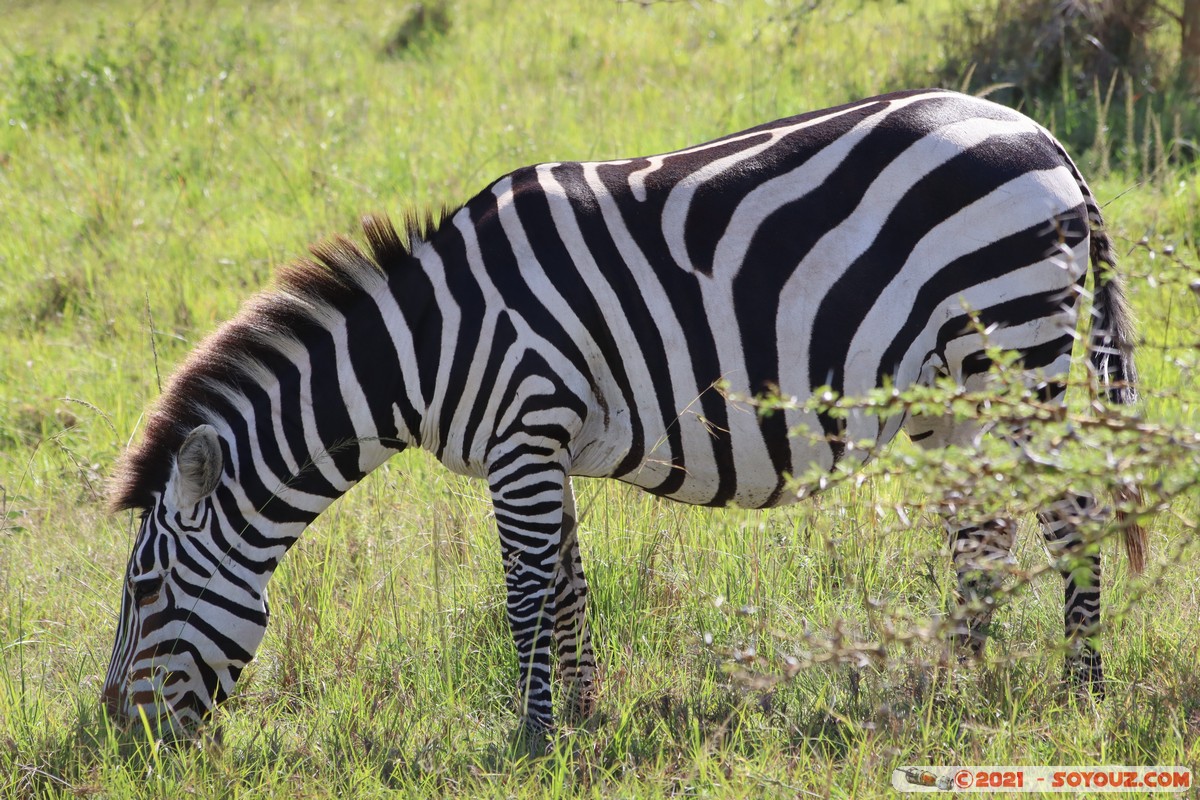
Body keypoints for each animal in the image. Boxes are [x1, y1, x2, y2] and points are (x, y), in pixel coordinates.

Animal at [100, 87, 1142, 738]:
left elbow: (525, 594)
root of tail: (1044, 139)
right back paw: (950, 683)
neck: (428, 342)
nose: (114, 733)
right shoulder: (543, 446)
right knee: (983, 534)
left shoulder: (523, 432)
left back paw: (1080, 690)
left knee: (1071, 516)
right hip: (957, 388)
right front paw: (584, 715)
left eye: (144, 593)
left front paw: (531, 737)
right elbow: (567, 587)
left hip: (1016, 346)